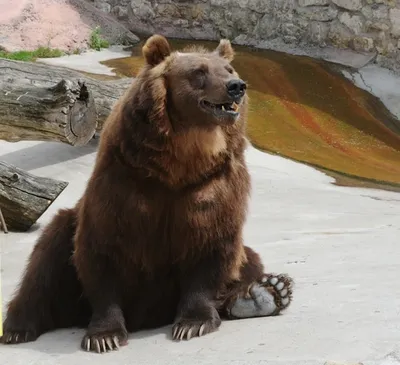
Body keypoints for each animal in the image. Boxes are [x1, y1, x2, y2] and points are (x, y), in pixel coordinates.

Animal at [0, 34, 294, 352]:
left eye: (228, 69)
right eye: (199, 71)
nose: (236, 86)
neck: (181, 161)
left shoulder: (213, 186)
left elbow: (212, 247)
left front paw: (193, 323)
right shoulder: (125, 181)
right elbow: (102, 252)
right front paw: (104, 335)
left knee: (250, 260)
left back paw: (265, 293)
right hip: (67, 232)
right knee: (45, 261)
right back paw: (18, 328)